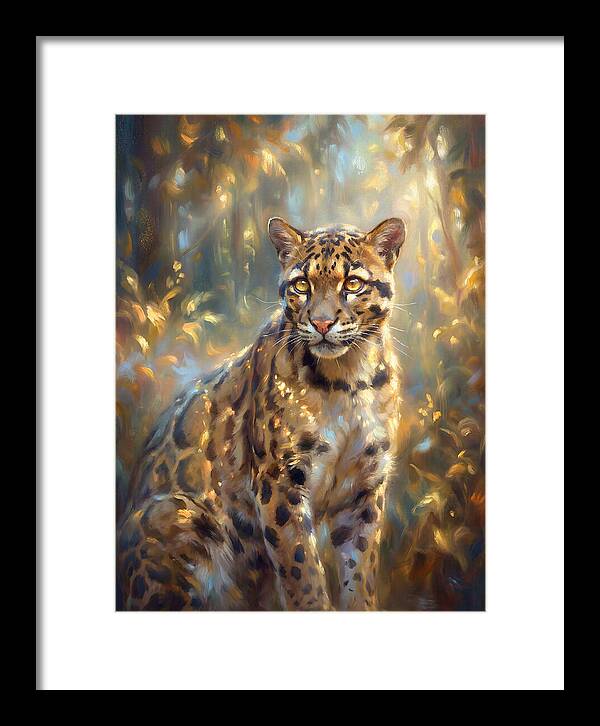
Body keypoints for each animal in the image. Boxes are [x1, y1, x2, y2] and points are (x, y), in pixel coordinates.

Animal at [116, 216, 406, 611]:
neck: (348, 381)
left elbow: (360, 570)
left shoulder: (365, 485)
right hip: (176, 516)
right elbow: (302, 570)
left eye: (352, 283)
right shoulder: (280, 480)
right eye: (302, 284)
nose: (322, 323)